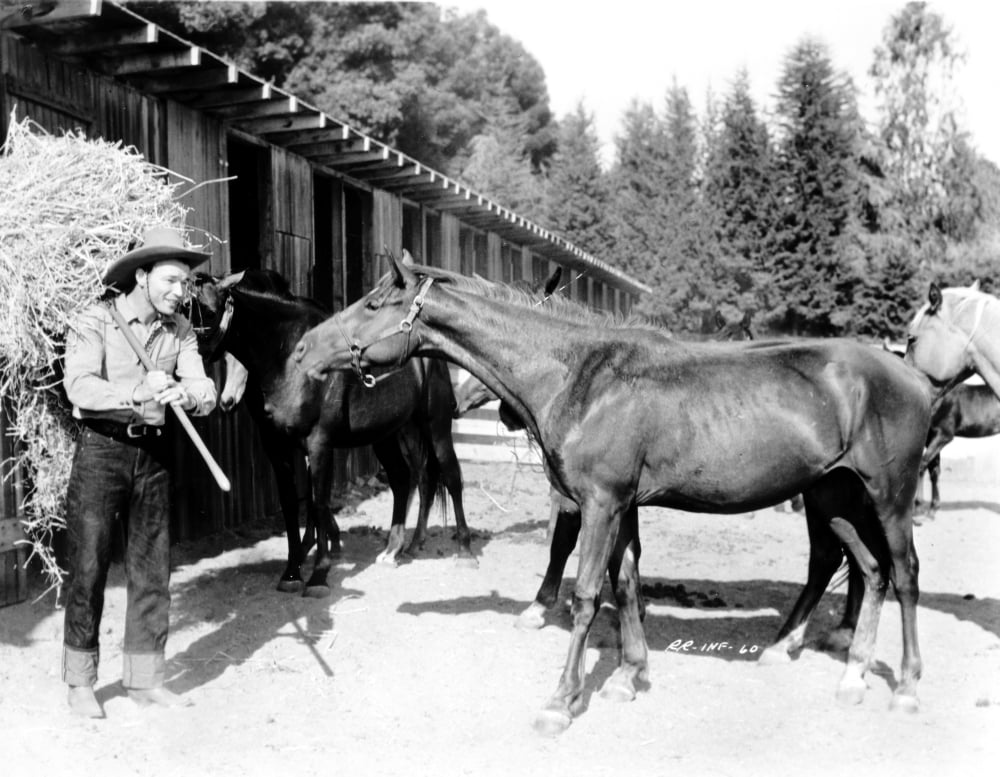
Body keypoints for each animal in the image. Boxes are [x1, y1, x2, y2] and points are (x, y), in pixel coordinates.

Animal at [190, 269, 474, 596]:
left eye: (210, 310)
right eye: (184, 309)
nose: (224, 402)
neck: (288, 359)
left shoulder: (319, 443)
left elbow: (318, 502)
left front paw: (318, 575)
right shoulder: (277, 445)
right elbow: (292, 504)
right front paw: (292, 571)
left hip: (434, 426)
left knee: (449, 477)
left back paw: (463, 550)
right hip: (388, 434)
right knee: (406, 479)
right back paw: (397, 548)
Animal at [290, 251, 931, 733]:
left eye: (374, 304)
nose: (302, 350)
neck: (579, 375)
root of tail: (913, 377)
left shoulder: (600, 503)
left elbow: (585, 594)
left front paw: (561, 701)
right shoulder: (622, 506)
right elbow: (625, 586)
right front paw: (629, 676)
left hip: (888, 496)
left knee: (902, 574)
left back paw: (905, 686)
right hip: (834, 497)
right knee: (867, 569)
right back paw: (851, 676)